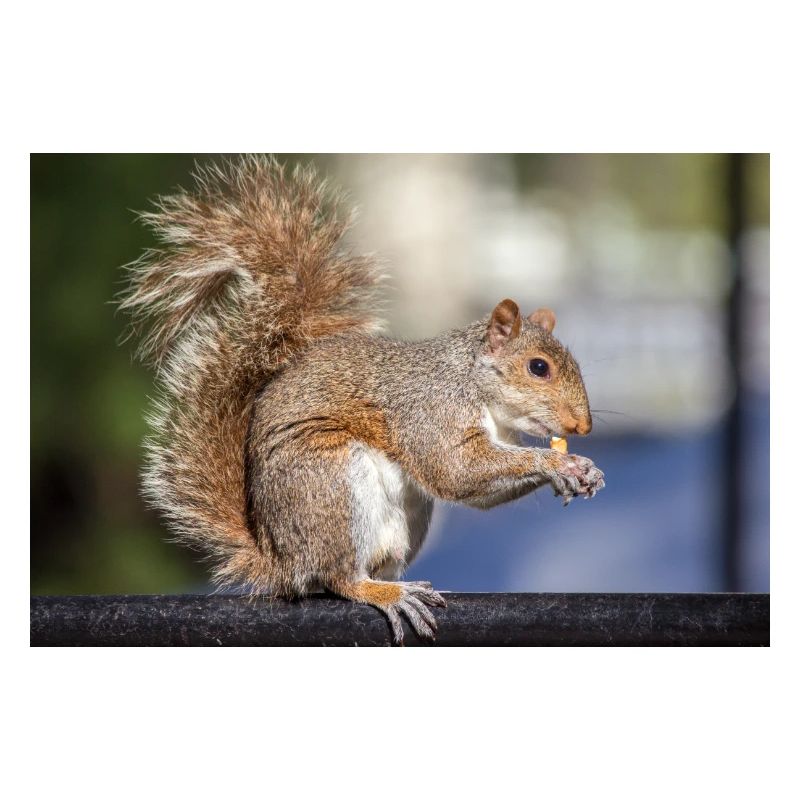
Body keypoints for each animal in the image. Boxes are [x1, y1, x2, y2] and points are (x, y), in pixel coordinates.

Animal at [120, 155, 605, 644]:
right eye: (538, 367)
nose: (582, 427)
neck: (476, 387)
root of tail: (280, 559)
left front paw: (582, 470)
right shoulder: (430, 410)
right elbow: (454, 470)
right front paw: (558, 463)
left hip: (404, 518)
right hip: (328, 480)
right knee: (339, 578)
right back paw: (385, 593)